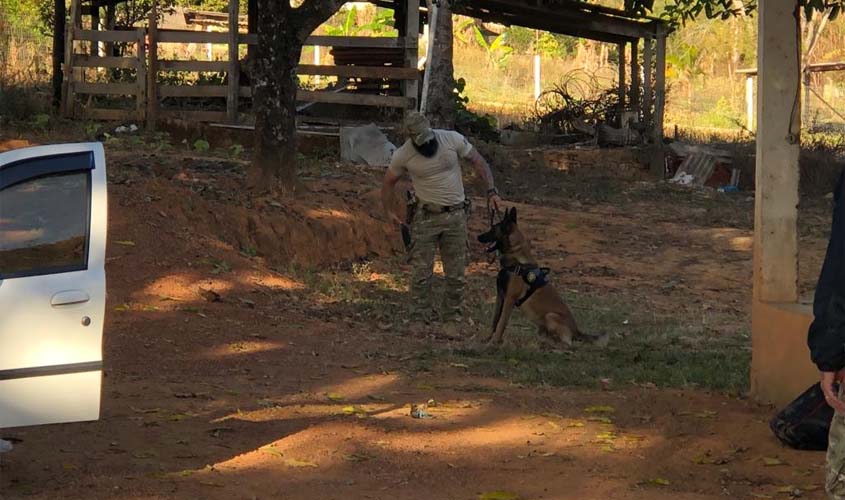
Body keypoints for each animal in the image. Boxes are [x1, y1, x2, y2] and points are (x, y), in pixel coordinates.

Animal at [477, 207, 608, 348]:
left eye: (493, 230)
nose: (478, 237)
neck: (517, 262)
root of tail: (576, 331)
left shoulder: (509, 299)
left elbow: (501, 323)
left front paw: (494, 342)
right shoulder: (500, 297)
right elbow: (495, 320)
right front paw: (487, 338)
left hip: (550, 316)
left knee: (567, 343)